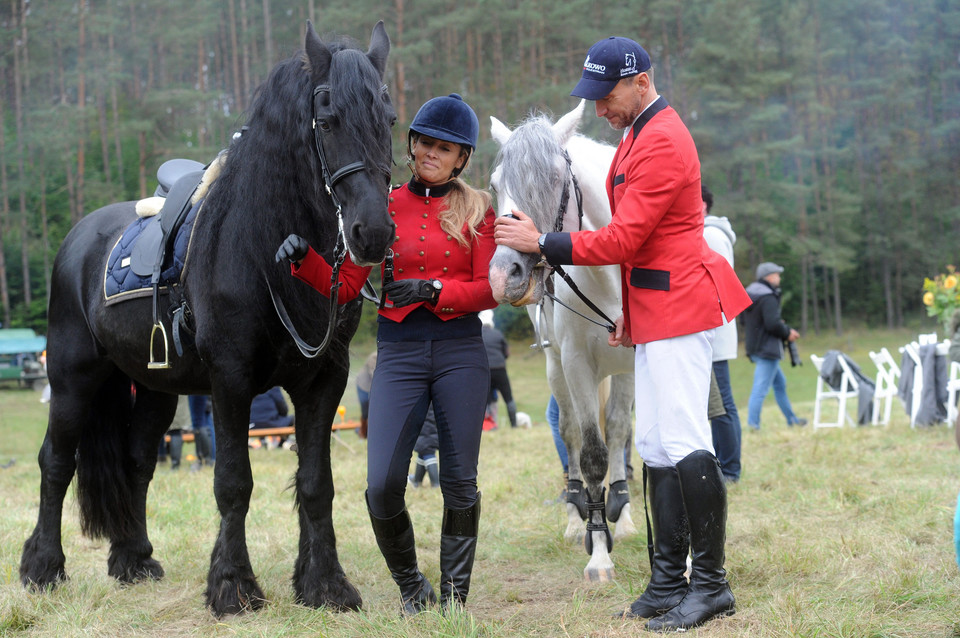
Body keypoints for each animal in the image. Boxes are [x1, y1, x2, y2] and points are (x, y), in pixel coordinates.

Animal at [19, 22, 394, 616]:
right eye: (328, 120)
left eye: (390, 119)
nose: (373, 231)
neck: (267, 246)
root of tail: (79, 238)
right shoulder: (231, 381)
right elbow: (233, 482)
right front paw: (233, 586)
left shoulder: (323, 381)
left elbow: (317, 484)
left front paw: (325, 585)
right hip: (73, 378)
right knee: (55, 462)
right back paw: (42, 568)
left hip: (154, 388)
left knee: (136, 464)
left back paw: (133, 559)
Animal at [488, 101, 636, 584]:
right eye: (495, 185)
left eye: (554, 179)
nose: (505, 274)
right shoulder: (575, 365)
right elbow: (590, 453)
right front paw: (598, 552)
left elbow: (622, 436)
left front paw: (621, 516)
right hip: (557, 371)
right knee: (570, 434)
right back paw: (576, 519)